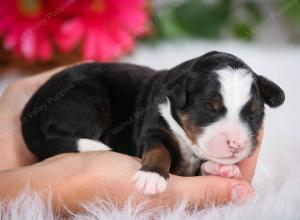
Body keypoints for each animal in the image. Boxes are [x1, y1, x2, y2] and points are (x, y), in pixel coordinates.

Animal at [21, 51, 286, 194]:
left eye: (253, 114)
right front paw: (152, 176)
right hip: (89, 97)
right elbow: (159, 150)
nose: (236, 145)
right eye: (209, 109)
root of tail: (31, 108)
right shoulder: (154, 130)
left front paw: (223, 169)